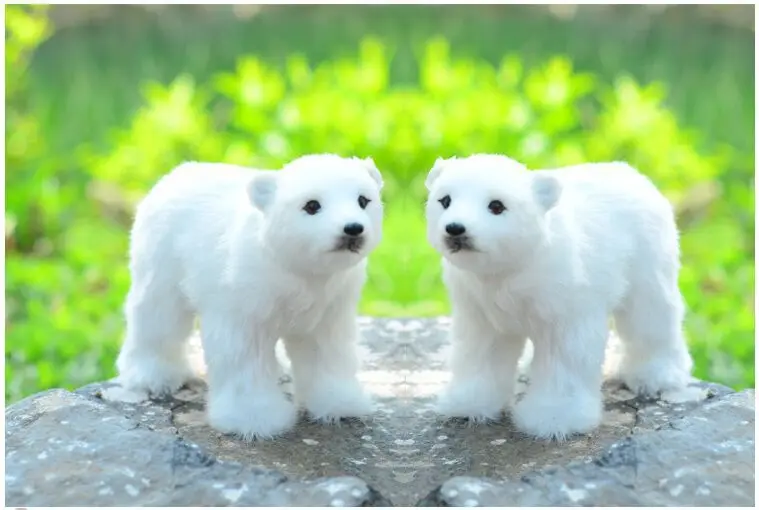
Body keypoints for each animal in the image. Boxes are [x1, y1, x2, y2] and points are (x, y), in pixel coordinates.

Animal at [115, 154, 385, 440]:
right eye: (312, 205)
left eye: (363, 200)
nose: (353, 228)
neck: (299, 271)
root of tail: (175, 173)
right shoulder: (242, 308)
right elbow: (244, 360)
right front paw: (255, 420)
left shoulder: (330, 309)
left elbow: (327, 353)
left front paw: (339, 404)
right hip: (161, 262)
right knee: (158, 318)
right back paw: (153, 378)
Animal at [424, 154, 694, 440]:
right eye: (445, 200)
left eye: (496, 205)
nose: (455, 228)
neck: (509, 271)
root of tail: (632, 173)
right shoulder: (480, 311)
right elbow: (480, 353)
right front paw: (468, 404)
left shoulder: (566, 310)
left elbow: (564, 361)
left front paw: (554, 419)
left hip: (648, 265)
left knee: (651, 318)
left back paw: (656, 377)